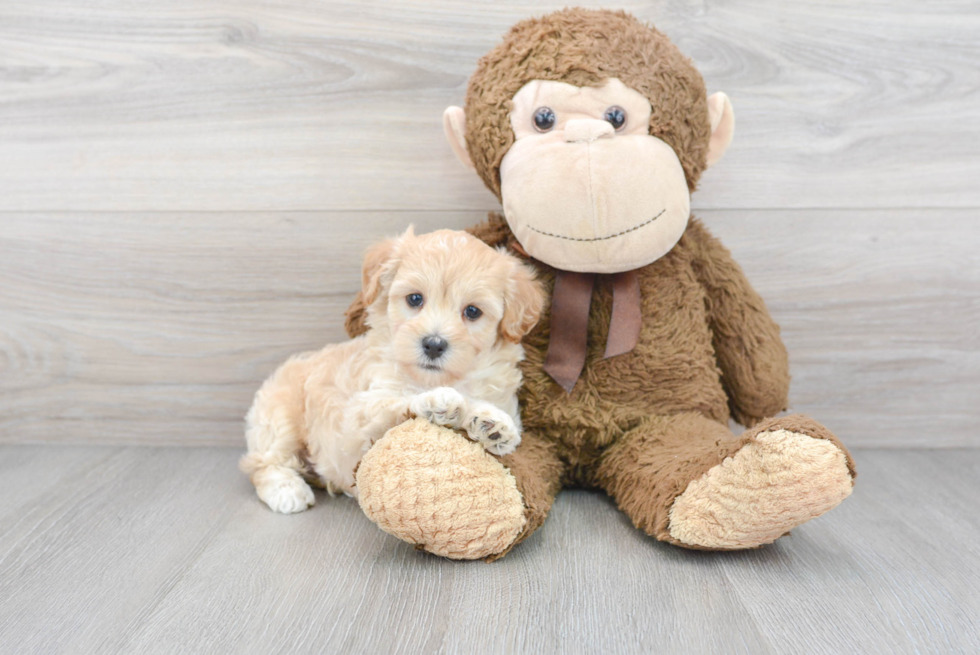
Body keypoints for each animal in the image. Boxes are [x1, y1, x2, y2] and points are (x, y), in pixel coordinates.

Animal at [237, 228, 544, 516]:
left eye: (472, 311)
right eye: (415, 299)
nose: (434, 344)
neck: (438, 377)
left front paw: (493, 425)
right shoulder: (359, 419)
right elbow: (395, 404)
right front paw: (436, 400)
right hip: (279, 417)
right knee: (261, 462)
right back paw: (286, 490)